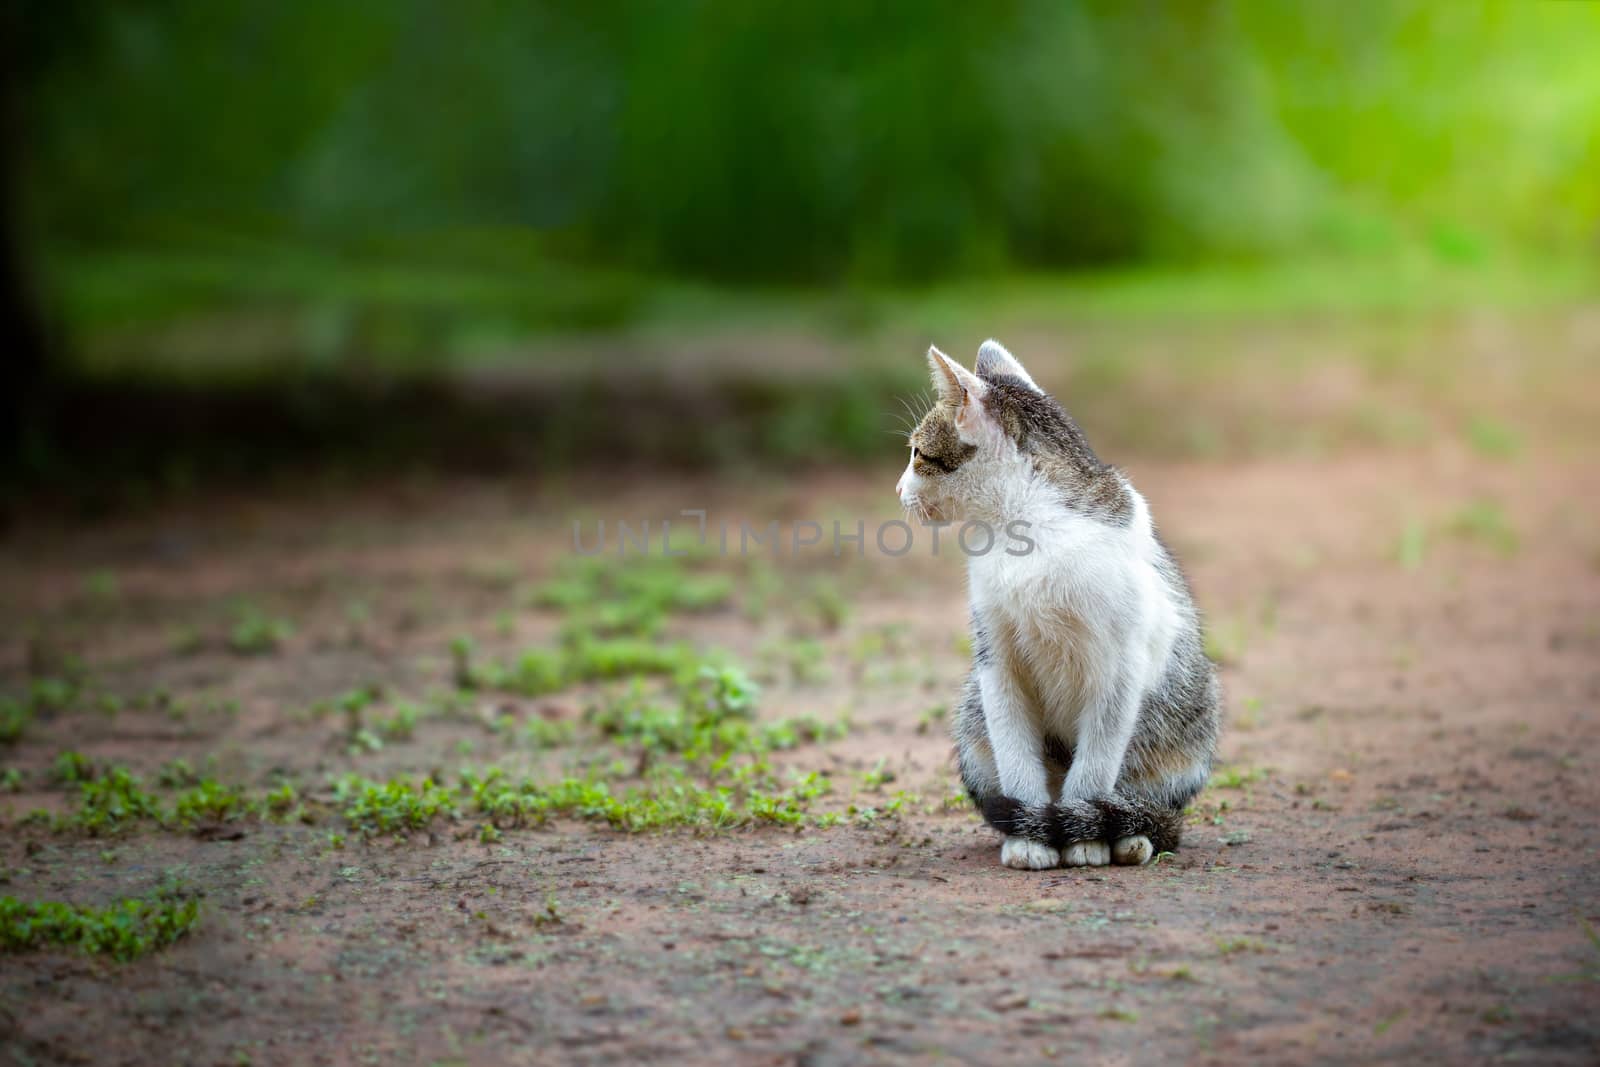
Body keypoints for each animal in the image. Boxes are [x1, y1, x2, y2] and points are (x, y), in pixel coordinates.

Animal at [896, 342, 1216, 870]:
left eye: (919, 454)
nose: (898, 490)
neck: (1027, 524)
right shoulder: (995, 657)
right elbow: (1014, 753)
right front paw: (1032, 838)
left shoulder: (1121, 664)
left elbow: (1096, 765)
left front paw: (1085, 839)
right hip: (971, 714)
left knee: (1151, 809)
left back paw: (1127, 833)